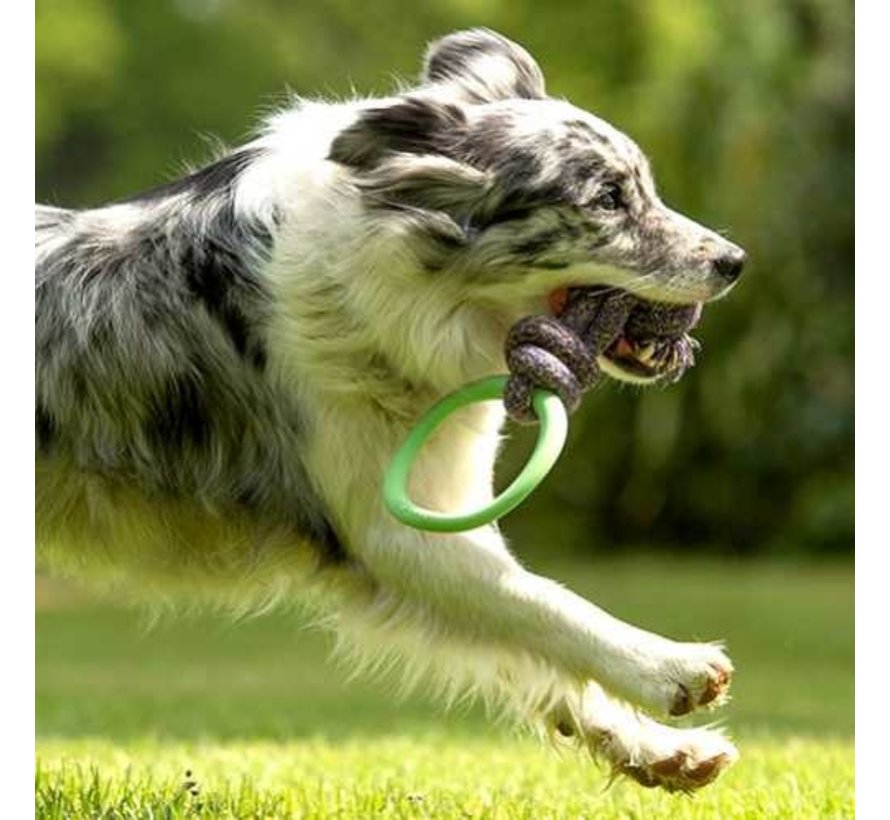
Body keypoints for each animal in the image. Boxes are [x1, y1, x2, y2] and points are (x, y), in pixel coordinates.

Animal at [34, 28, 744, 792]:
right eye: (609, 198)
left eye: (644, 188)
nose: (736, 260)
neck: (396, 290)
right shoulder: (388, 533)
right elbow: (542, 601)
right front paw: (668, 667)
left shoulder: (440, 503)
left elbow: (530, 647)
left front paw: (659, 749)